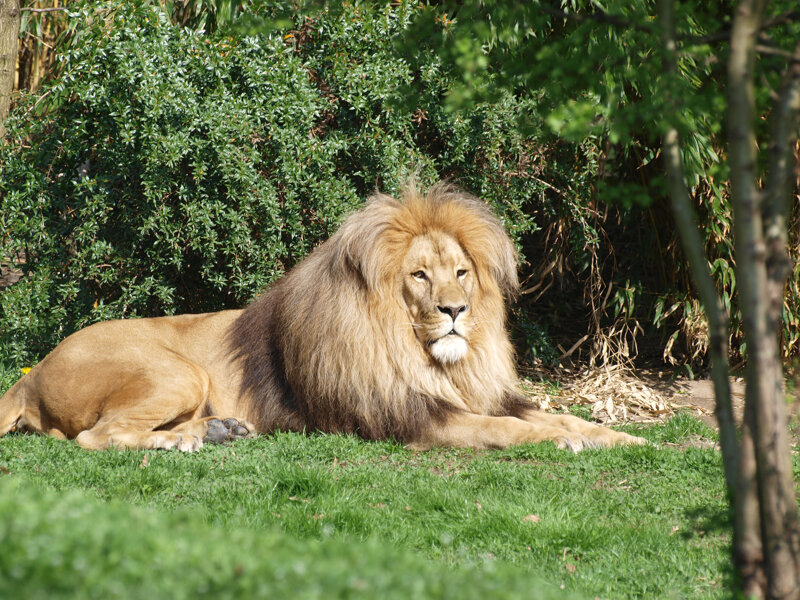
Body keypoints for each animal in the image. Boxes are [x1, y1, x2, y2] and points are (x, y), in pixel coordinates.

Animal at [0, 182, 644, 452]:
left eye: (461, 273)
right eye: (419, 276)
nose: (456, 311)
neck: (424, 356)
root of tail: (30, 376)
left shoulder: (479, 394)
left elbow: (561, 415)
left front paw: (625, 437)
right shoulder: (411, 418)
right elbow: (512, 430)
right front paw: (563, 442)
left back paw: (217, 431)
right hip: (177, 372)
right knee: (94, 437)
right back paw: (183, 442)